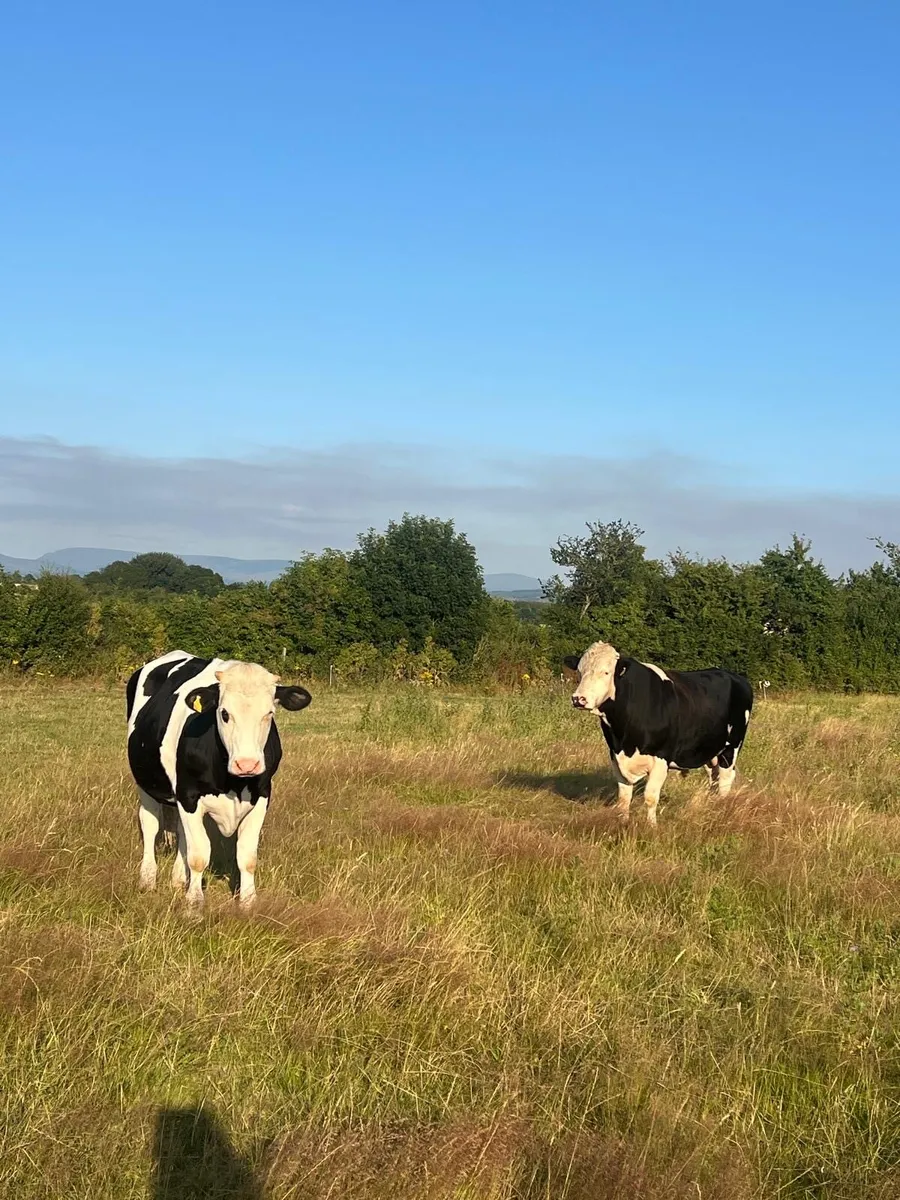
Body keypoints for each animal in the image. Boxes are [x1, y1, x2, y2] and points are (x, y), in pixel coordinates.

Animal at [126, 651, 312, 906]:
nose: (247, 764)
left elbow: (247, 856)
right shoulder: (189, 795)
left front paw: (248, 903)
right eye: (224, 713)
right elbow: (198, 855)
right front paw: (194, 903)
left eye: (269, 714)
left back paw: (177, 880)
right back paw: (147, 879)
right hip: (146, 782)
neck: (234, 783)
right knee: (150, 825)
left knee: (181, 833)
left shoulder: (263, 795)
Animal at [564, 642, 752, 825]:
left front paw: (652, 827)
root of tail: (735, 677)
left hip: (731, 747)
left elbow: (650, 797)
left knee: (725, 780)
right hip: (709, 750)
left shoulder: (661, 758)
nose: (578, 699)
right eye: (580, 671)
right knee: (714, 778)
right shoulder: (616, 756)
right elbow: (624, 798)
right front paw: (623, 823)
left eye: (606, 672)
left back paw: (721, 806)